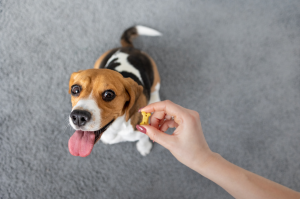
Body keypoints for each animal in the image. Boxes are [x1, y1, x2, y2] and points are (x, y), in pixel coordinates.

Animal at [68, 25, 162, 157]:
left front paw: (144, 147)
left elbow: (144, 137)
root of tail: (128, 48)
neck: (116, 127)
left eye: (109, 94)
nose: (78, 117)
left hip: (155, 78)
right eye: (75, 89)